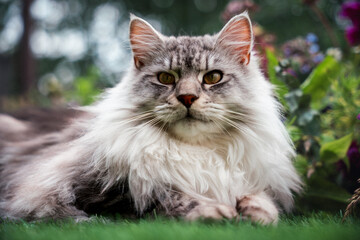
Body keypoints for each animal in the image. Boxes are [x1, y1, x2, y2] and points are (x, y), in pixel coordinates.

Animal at [0, 12, 300, 224]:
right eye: (166, 78)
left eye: (213, 77)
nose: (187, 97)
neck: (195, 153)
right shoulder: (84, 189)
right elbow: (167, 198)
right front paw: (214, 210)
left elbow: (261, 197)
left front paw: (258, 211)